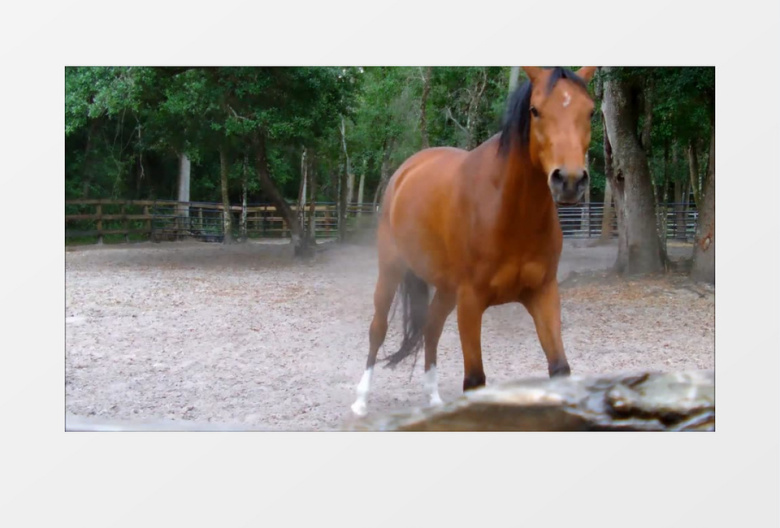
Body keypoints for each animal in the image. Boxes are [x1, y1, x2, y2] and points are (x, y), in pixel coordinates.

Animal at [351, 66, 598, 417]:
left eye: (590, 111)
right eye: (535, 111)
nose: (571, 180)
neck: (507, 211)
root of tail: (406, 170)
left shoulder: (544, 293)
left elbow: (560, 368)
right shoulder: (471, 301)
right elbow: (475, 379)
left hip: (445, 289)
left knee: (431, 328)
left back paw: (433, 399)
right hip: (390, 271)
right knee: (378, 329)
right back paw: (361, 400)